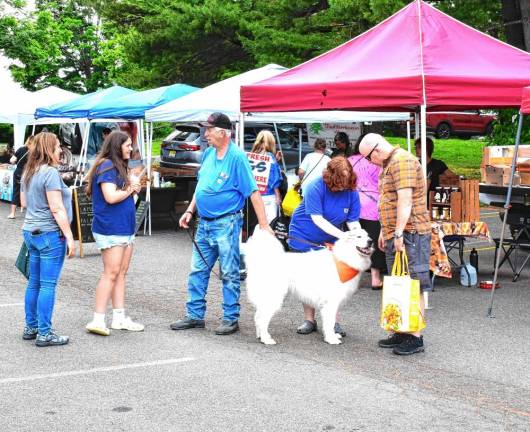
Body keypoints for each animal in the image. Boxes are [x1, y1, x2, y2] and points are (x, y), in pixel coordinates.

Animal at [243, 228, 372, 346]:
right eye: (359, 236)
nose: (370, 241)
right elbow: (330, 322)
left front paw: (333, 335)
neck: (343, 259)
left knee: (257, 317)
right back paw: (266, 339)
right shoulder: (331, 302)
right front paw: (331, 339)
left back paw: (260, 336)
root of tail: (260, 262)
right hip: (273, 298)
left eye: (368, 235)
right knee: (262, 319)